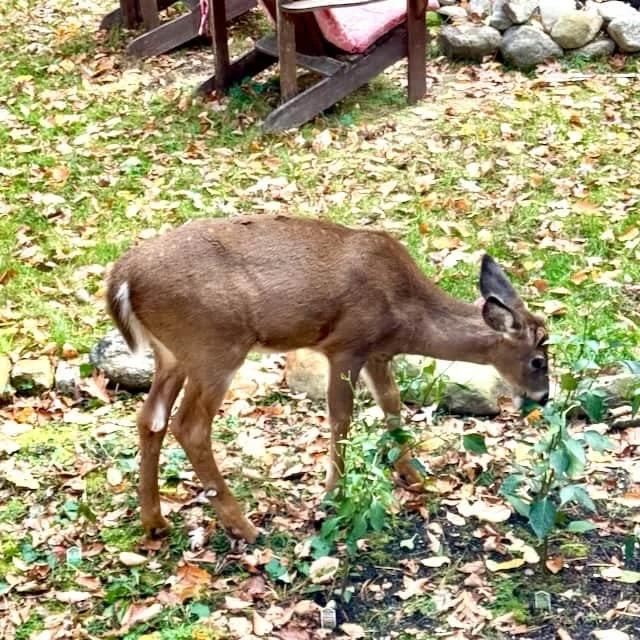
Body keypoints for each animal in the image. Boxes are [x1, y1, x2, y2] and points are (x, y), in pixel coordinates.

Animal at [106, 215, 550, 543]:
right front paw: (333, 494)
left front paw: (413, 476)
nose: (543, 397)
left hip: (172, 354)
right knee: (190, 426)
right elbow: (342, 417)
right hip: (214, 345)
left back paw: (155, 523)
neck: (407, 313)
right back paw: (245, 527)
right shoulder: (346, 346)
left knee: (150, 419)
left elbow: (392, 404)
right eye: (539, 359)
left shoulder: (378, 352)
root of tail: (122, 280)